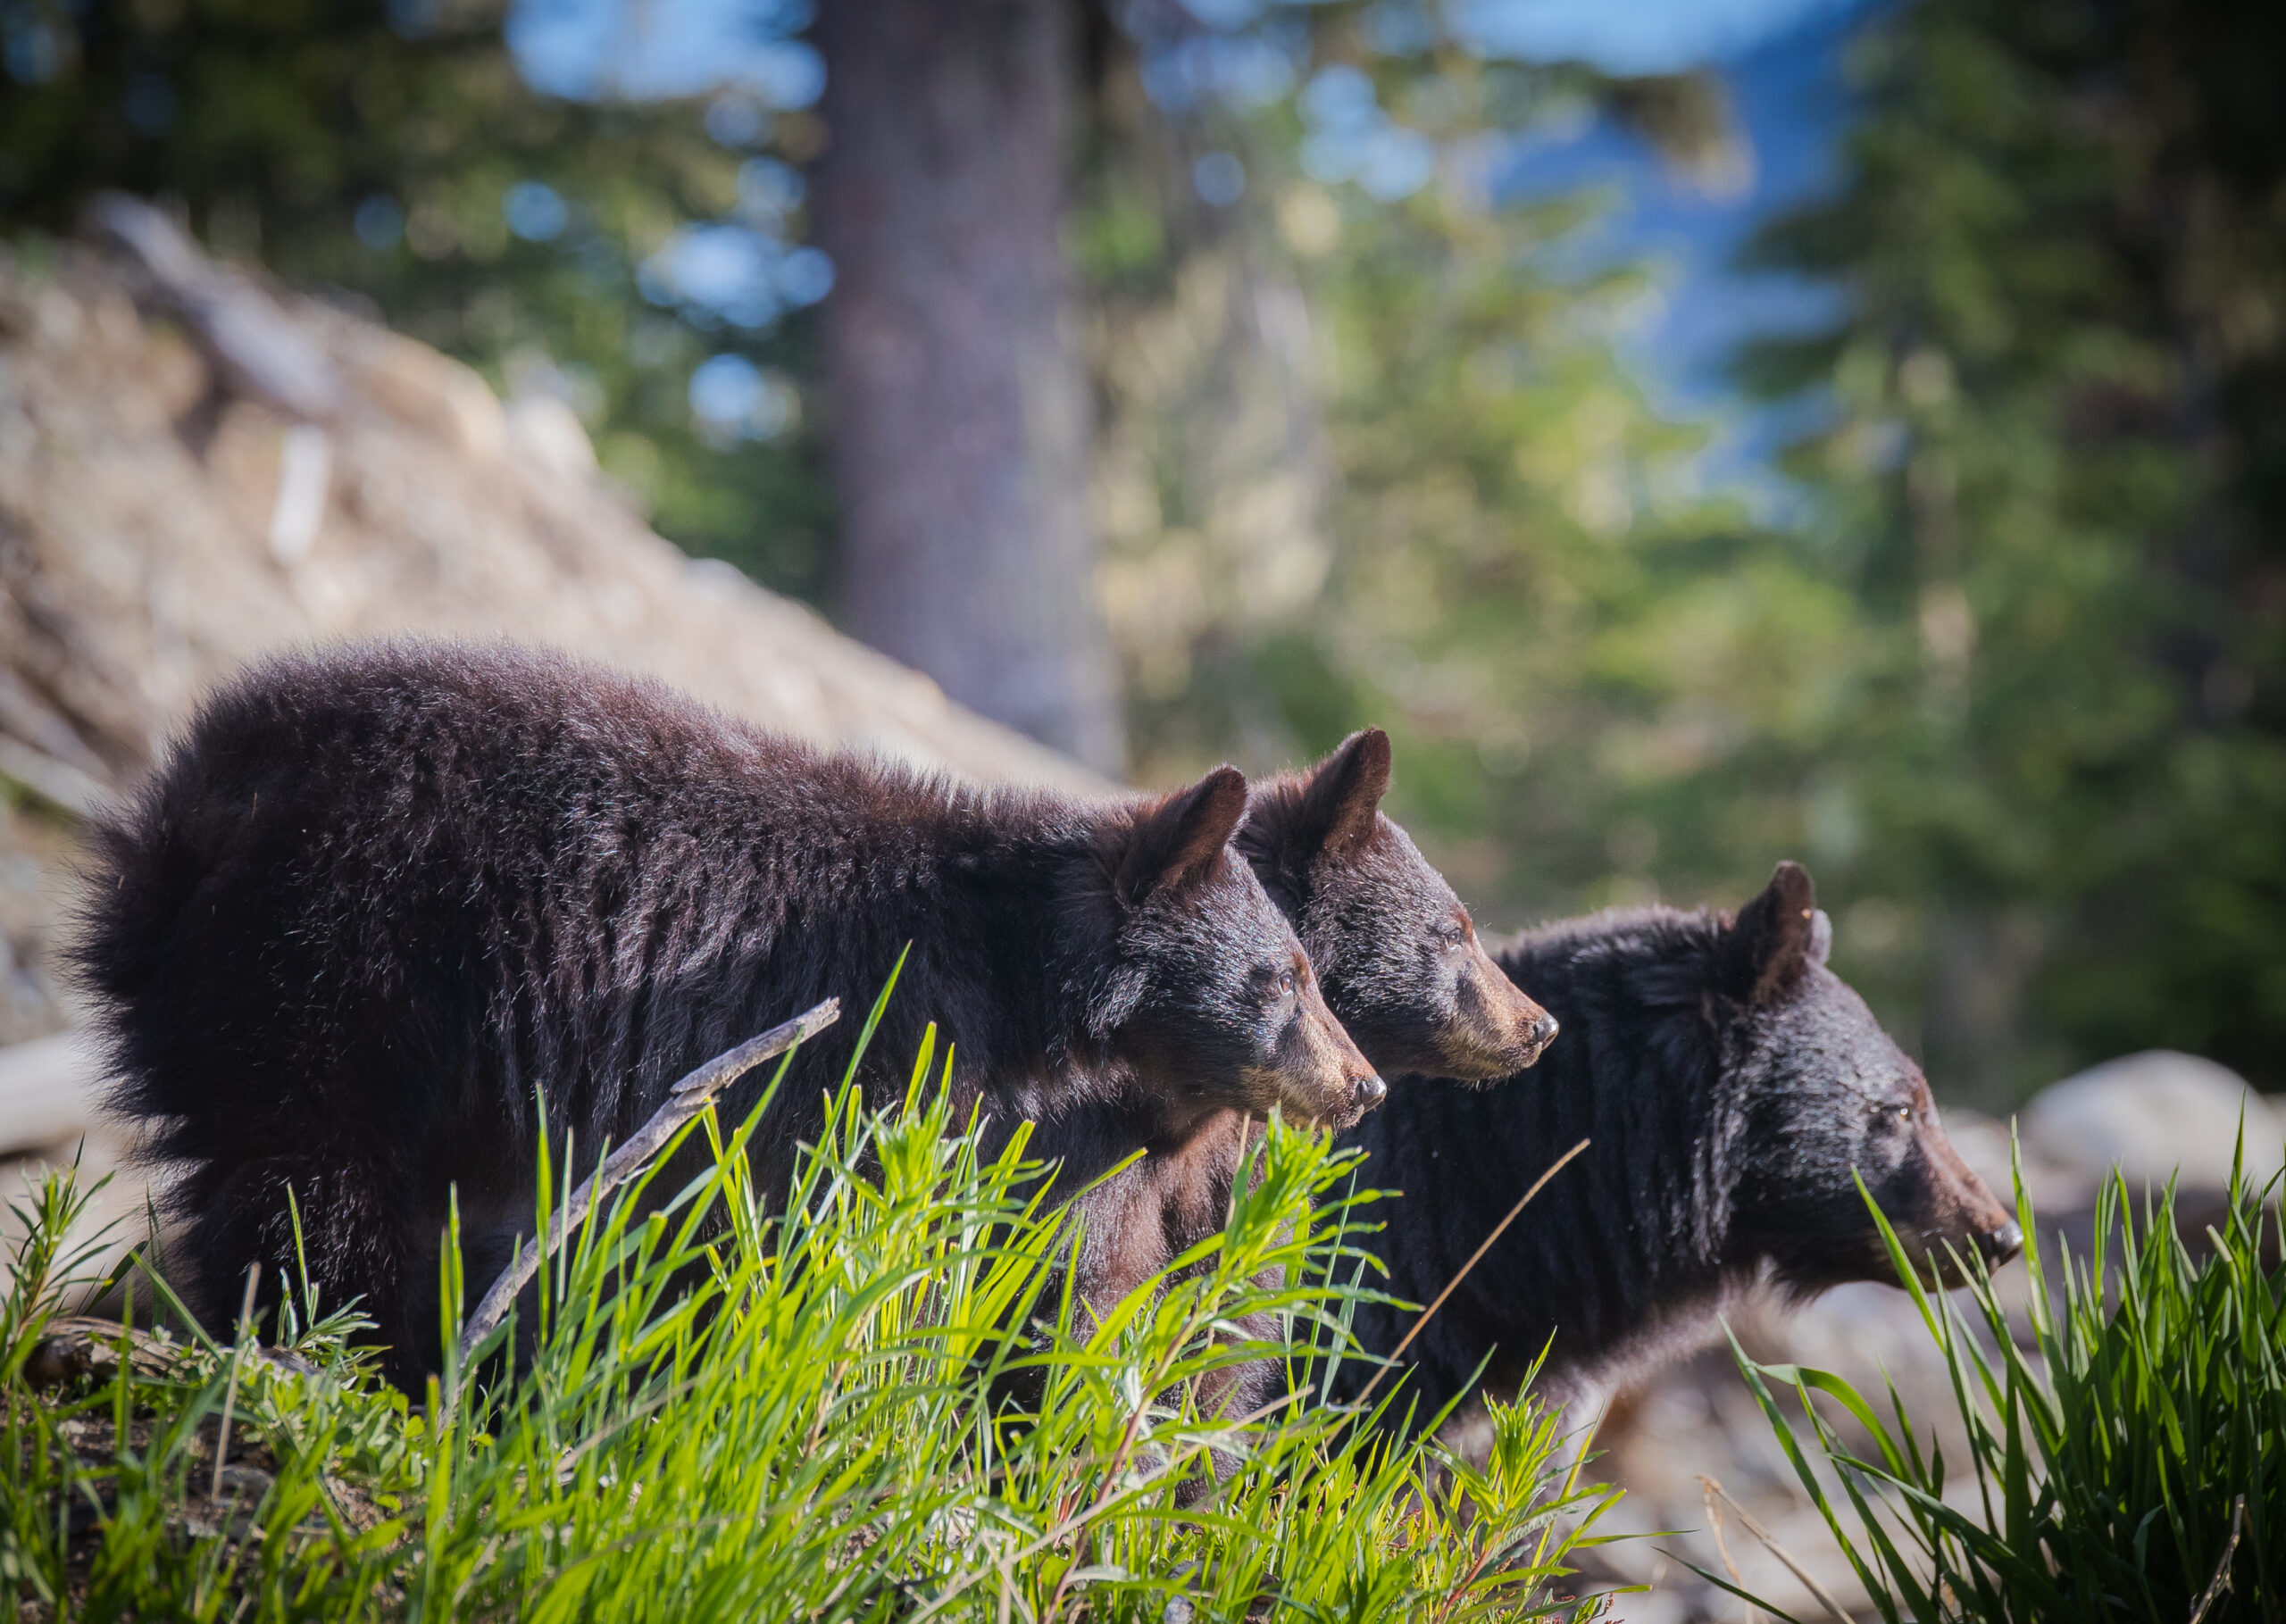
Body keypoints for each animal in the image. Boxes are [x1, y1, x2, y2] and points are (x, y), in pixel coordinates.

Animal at [84, 639, 1372, 1388]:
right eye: (1286, 979)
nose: (1363, 1082)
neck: (1012, 974)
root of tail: (196, 795)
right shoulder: (855, 1049)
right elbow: (816, 1227)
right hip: (343, 959)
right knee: (315, 1182)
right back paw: (343, 1347)